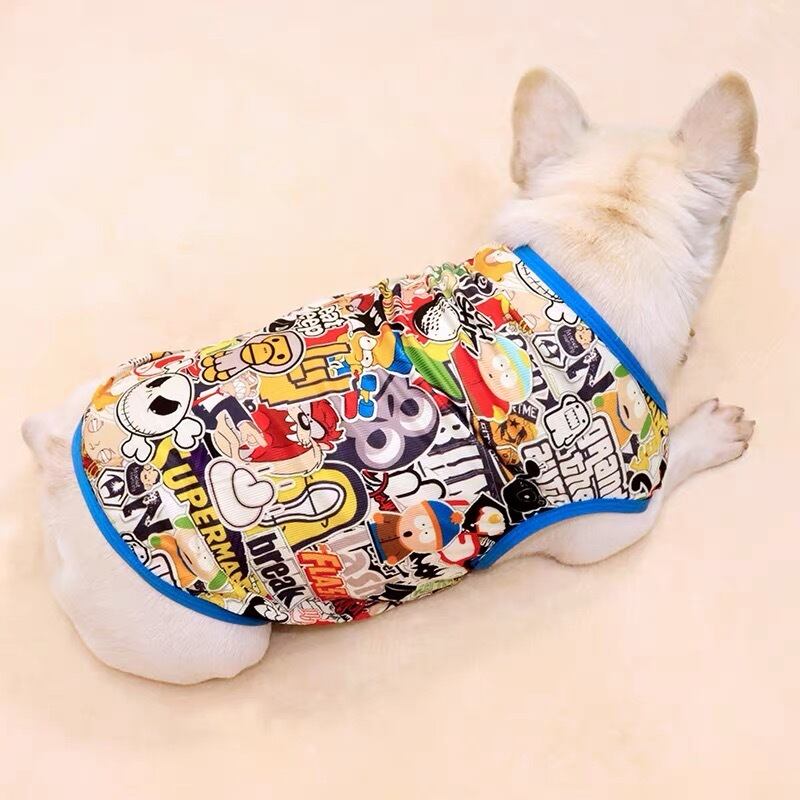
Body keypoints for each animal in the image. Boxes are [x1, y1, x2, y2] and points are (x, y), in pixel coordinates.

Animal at [22, 69, 757, 683]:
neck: (601, 235)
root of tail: (63, 472)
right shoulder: (611, 520)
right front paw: (710, 433)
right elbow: (669, 475)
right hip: (214, 642)